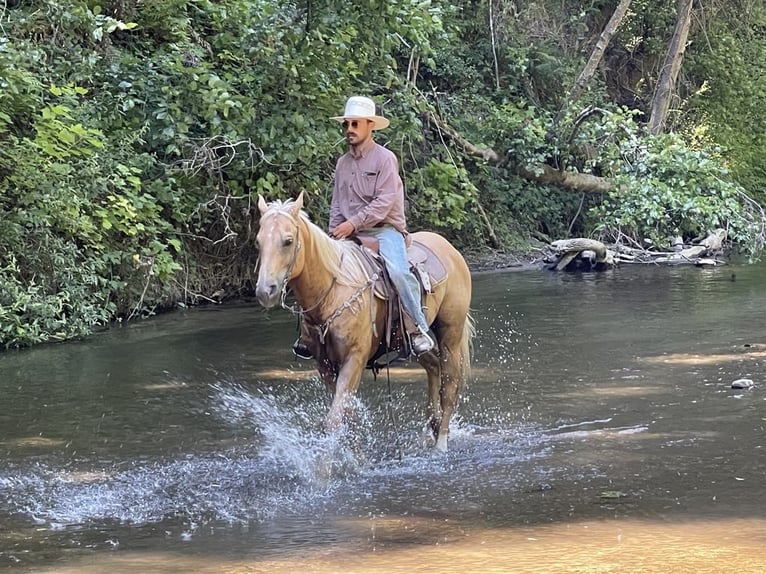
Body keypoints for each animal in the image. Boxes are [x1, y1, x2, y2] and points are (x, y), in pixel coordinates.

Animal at [254, 192, 474, 452]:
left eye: (288, 241)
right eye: (258, 242)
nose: (265, 291)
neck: (332, 292)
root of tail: (450, 249)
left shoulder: (354, 359)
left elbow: (334, 419)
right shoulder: (324, 365)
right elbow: (347, 414)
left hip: (451, 332)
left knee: (449, 384)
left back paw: (441, 443)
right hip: (407, 341)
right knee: (433, 365)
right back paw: (433, 424)